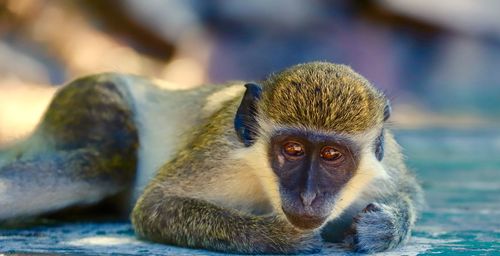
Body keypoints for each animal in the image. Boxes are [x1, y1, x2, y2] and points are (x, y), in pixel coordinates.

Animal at [0, 62, 424, 254]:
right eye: (293, 150)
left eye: (332, 155)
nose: (307, 196)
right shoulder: (221, 153)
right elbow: (155, 207)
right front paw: (277, 237)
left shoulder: (388, 165)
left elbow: (410, 196)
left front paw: (381, 227)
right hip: (92, 100)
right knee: (106, 165)